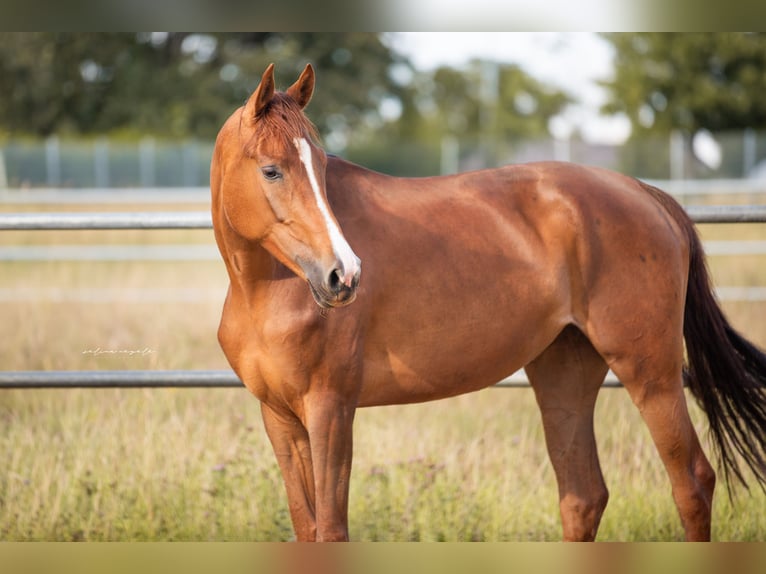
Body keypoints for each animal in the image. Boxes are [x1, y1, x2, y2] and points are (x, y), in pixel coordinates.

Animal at [211, 63, 766, 541]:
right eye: (272, 170)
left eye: (321, 166)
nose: (343, 276)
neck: (268, 289)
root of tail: (647, 194)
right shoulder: (281, 418)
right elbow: (306, 529)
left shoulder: (332, 409)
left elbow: (331, 531)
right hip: (564, 372)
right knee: (583, 497)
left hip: (651, 373)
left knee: (692, 482)